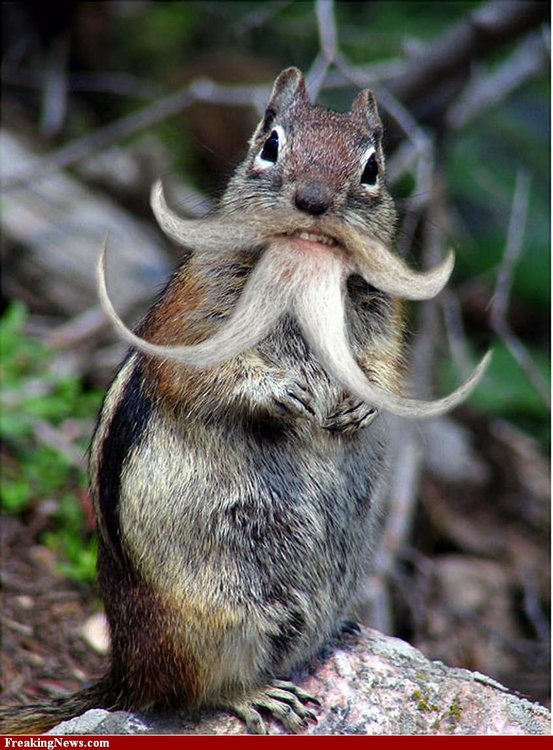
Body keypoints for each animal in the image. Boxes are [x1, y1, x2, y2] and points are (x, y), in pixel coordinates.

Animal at [0, 67, 489, 735]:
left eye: (372, 168)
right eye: (271, 145)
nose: (314, 200)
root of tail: (126, 672)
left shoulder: (384, 320)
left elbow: (384, 369)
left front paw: (362, 404)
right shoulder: (195, 311)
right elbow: (199, 373)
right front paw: (282, 391)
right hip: (216, 617)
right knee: (191, 692)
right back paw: (253, 695)